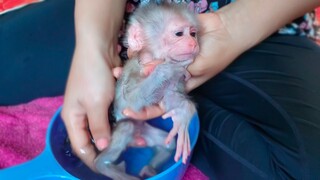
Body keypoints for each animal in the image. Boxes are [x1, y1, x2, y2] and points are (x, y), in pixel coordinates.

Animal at [94, 1, 200, 179]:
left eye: (193, 33)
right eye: (179, 34)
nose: (194, 43)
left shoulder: (176, 80)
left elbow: (170, 98)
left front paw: (183, 114)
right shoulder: (136, 70)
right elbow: (130, 101)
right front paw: (165, 69)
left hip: (143, 131)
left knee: (168, 144)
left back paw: (149, 169)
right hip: (126, 126)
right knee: (126, 128)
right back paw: (103, 165)